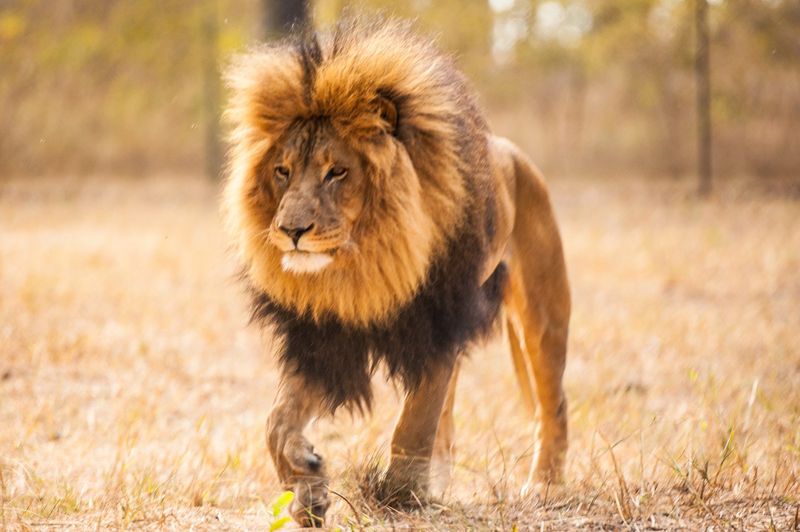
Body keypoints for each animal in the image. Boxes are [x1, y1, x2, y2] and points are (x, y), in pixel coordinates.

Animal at [222, 17, 570, 527]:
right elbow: (277, 422)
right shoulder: (323, 339)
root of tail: (515, 153)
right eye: (282, 171)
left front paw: (399, 494)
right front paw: (309, 488)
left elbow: (414, 423)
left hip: (543, 318)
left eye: (336, 172)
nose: (291, 231)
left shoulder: (436, 326)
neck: (363, 265)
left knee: (552, 404)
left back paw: (543, 485)